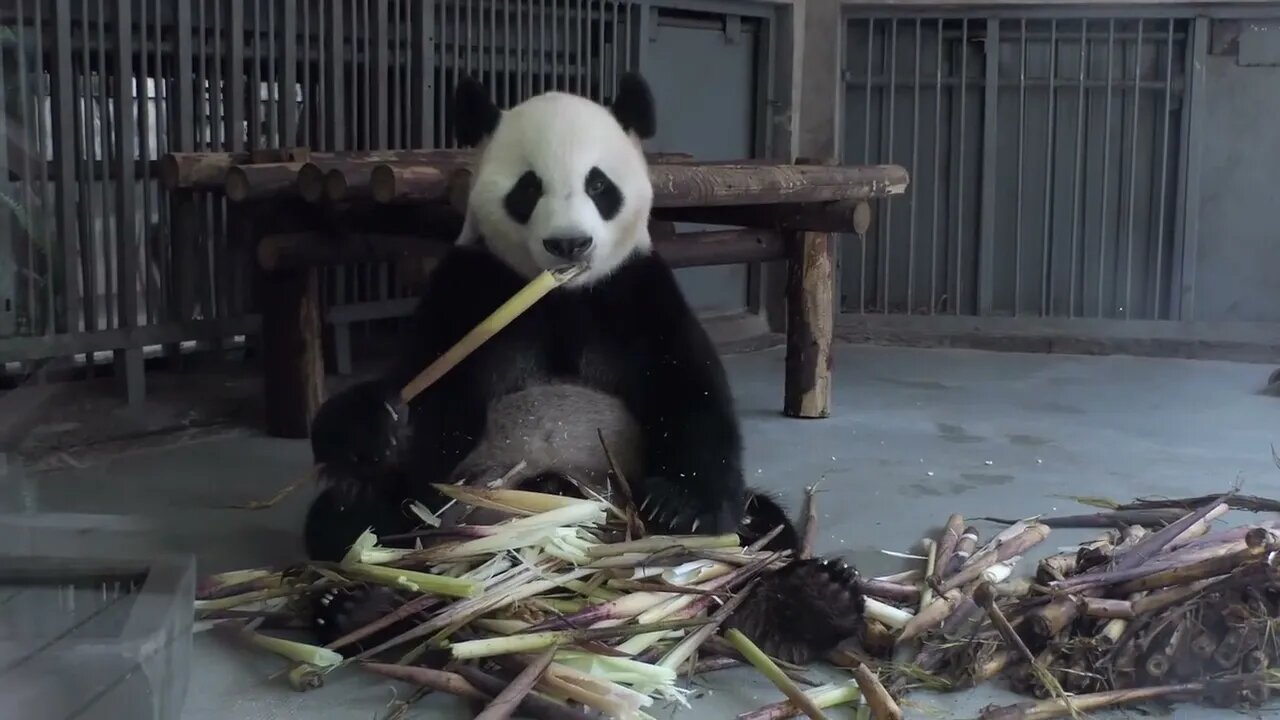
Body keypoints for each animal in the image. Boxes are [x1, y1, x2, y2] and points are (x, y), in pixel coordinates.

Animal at [299, 71, 860, 661]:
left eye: (598, 185)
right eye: (528, 188)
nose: (568, 242)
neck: (561, 293)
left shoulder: (636, 292)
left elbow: (690, 393)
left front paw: (681, 505)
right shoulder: (474, 289)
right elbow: (430, 398)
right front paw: (366, 424)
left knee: (764, 527)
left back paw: (812, 602)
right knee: (355, 521)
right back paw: (365, 610)